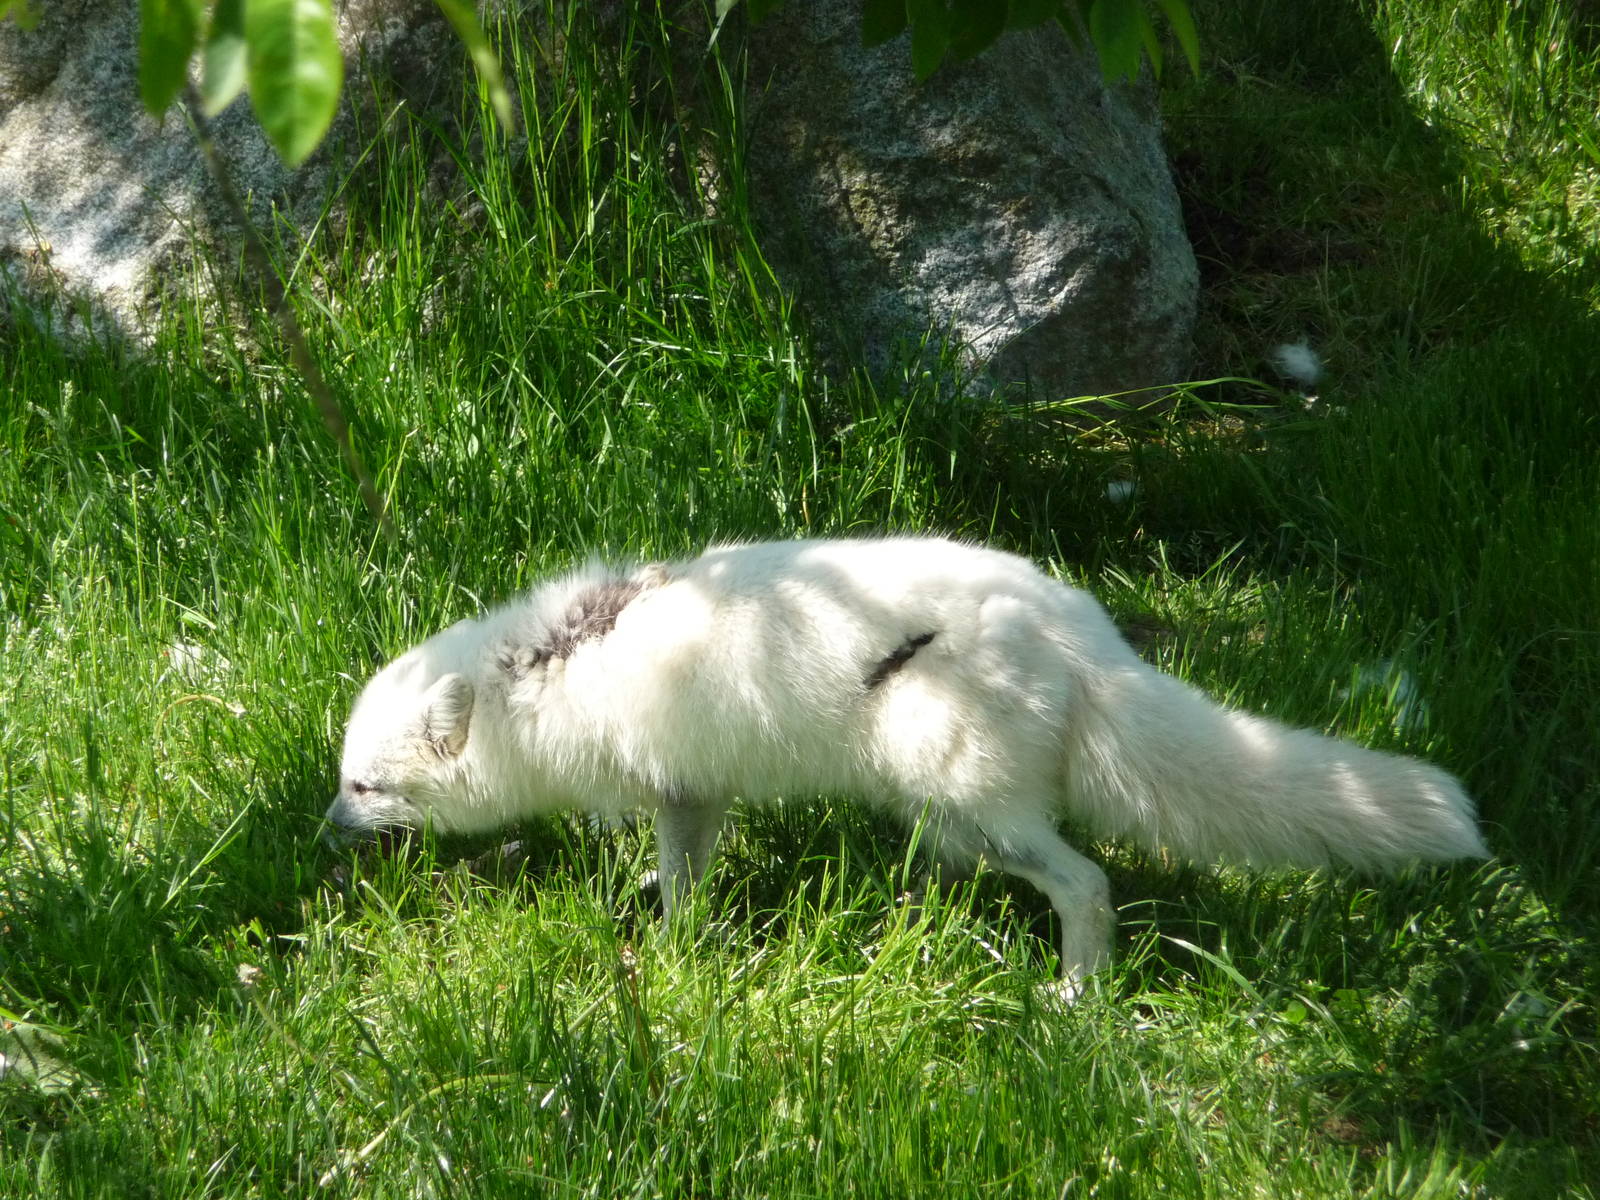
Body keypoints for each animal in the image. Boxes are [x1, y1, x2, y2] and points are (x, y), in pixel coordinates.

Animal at [326, 536, 1488, 994]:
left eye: (365, 787)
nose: (324, 832)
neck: (545, 672)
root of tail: (1089, 642)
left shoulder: (679, 785)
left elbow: (687, 882)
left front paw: (672, 944)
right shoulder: (695, 791)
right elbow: (680, 869)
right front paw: (661, 907)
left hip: (972, 796)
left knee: (1086, 883)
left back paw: (1075, 995)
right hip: (946, 806)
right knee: (958, 871)